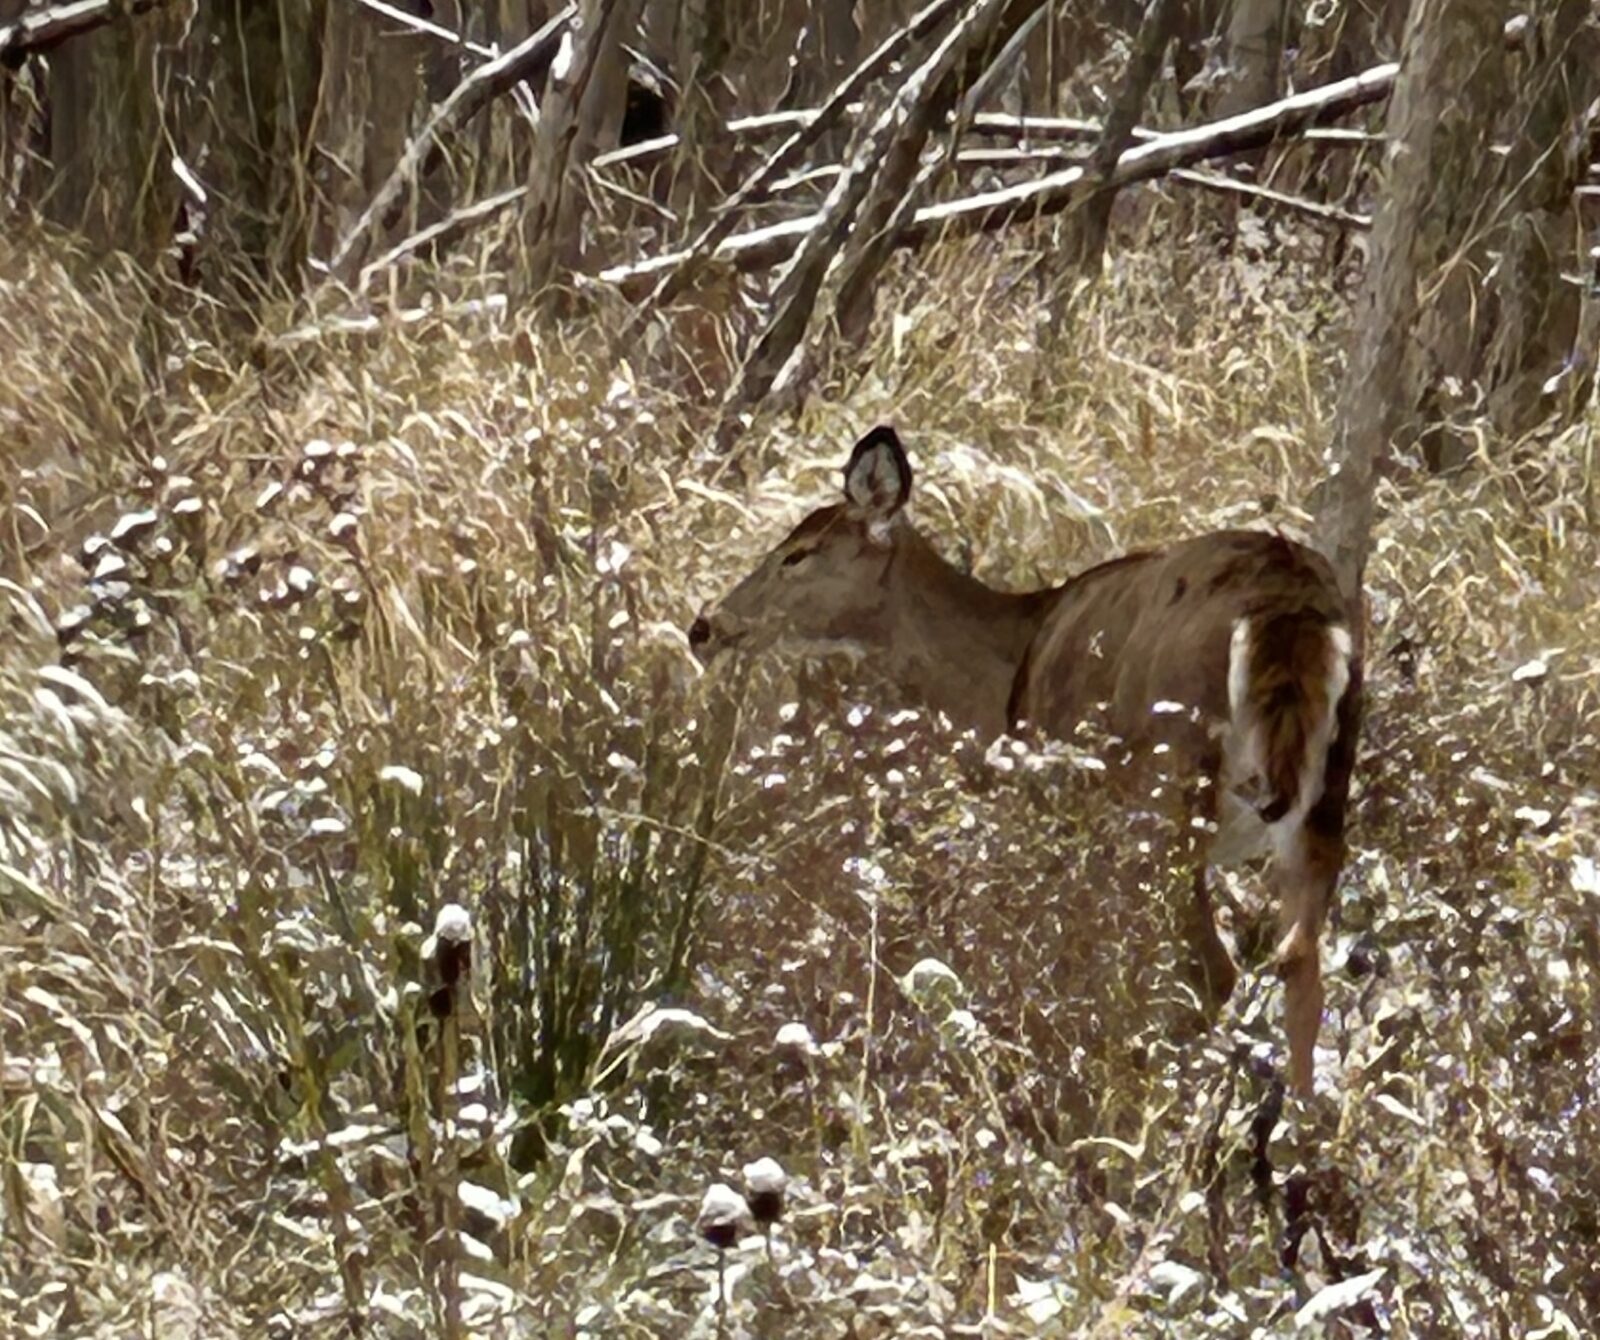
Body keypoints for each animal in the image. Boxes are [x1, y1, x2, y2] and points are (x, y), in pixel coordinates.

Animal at [688, 428, 1363, 1100]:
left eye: (797, 554)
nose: (704, 626)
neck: (1010, 662)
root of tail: (1286, 609)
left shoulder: (1065, 815)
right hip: (1323, 794)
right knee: (1301, 965)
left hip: (1167, 781)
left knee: (1212, 968)